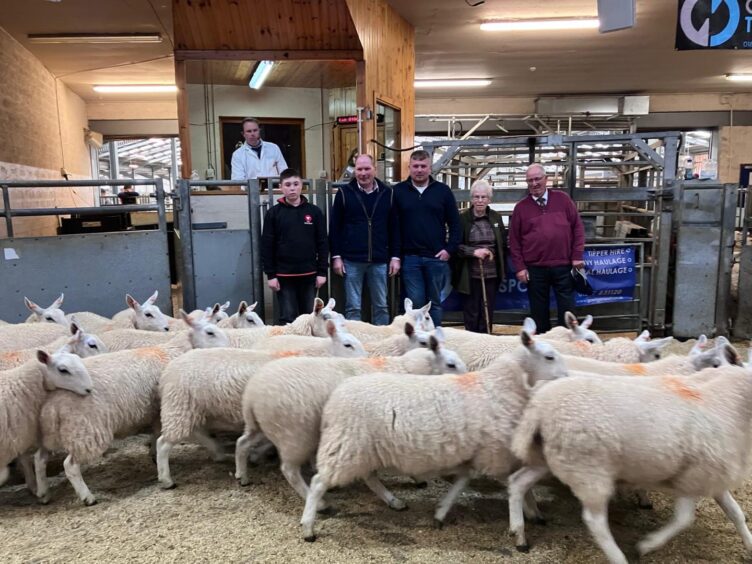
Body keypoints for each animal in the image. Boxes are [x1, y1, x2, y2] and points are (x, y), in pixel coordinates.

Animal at [154, 322, 366, 490]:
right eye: (348, 345)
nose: (366, 357)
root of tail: (167, 373)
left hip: (192, 409)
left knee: (194, 433)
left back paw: (218, 452)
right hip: (180, 405)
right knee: (163, 443)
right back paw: (166, 479)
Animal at [235, 332, 468, 500]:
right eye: (451, 364)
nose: (468, 379)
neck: (407, 368)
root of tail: (252, 395)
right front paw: (416, 478)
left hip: (262, 426)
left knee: (242, 443)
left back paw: (242, 475)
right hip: (295, 435)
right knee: (289, 470)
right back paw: (317, 502)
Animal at [296, 324, 568, 544]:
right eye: (549, 356)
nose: (567, 376)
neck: (499, 386)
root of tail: (335, 398)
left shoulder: (478, 453)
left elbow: (463, 481)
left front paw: (441, 513)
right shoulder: (494, 454)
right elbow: (515, 485)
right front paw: (525, 519)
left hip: (361, 449)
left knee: (368, 477)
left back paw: (394, 501)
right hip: (346, 446)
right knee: (319, 482)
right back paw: (308, 527)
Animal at [512, 360, 752, 560]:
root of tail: (539, 406)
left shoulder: (712, 477)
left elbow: (736, 513)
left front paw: (749, 545)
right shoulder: (692, 477)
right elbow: (683, 519)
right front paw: (648, 545)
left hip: (551, 458)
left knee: (518, 482)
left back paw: (519, 533)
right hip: (589, 470)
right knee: (595, 521)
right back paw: (618, 557)